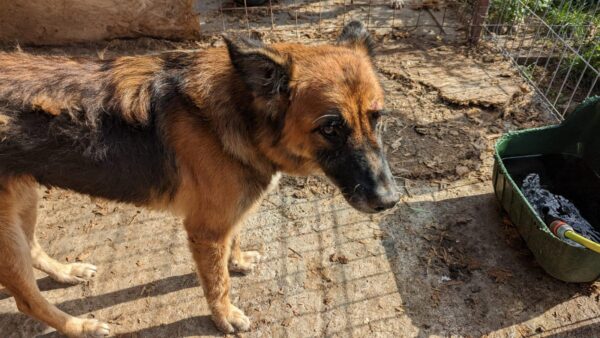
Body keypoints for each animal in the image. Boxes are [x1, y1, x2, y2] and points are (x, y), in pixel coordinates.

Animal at [0, 21, 398, 336]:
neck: (241, 113)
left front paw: (238, 260)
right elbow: (218, 283)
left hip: (25, 200)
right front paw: (225, 317)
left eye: (377, 117)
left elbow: (233, 242)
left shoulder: (224, 220)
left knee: (34, 249)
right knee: (26, 300)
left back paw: (66, 272)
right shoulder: (205, 229)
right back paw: (80, 326)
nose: (390, 201)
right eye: (330, 128)